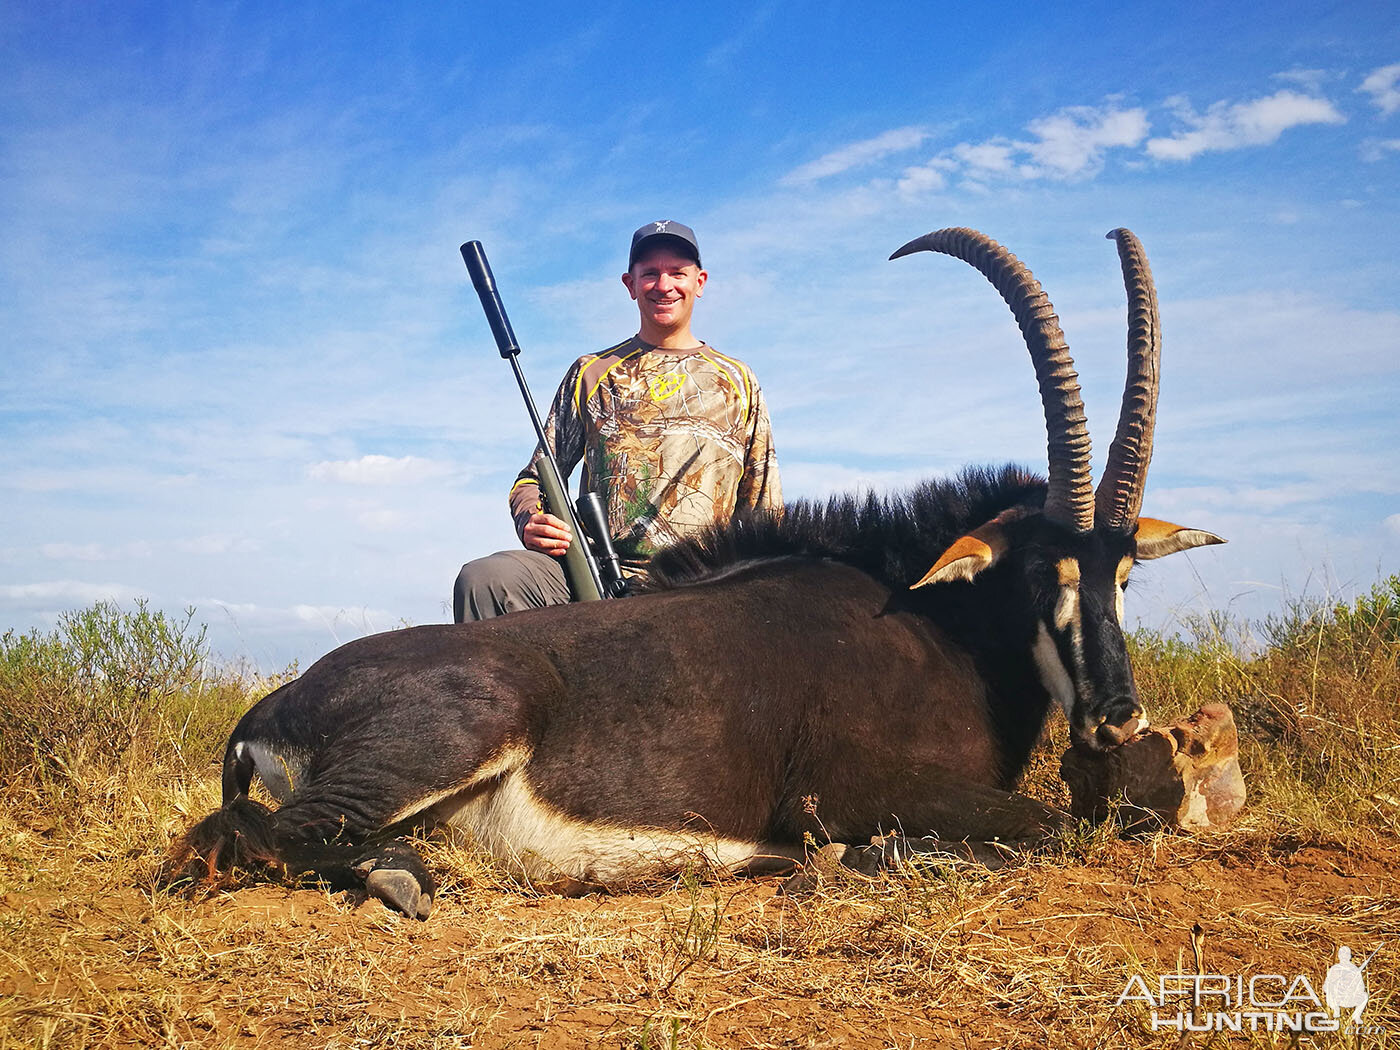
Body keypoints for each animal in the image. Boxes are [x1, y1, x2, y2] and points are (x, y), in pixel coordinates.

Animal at [175, 226, 1226, 918]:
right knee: (232, 837)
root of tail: (270, 704)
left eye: (1124, 576)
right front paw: (852, 860)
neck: (933, 625)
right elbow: (1050, 825)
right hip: (461, 726)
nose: (1118, 717)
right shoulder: (846, 787)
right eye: (1039, 572)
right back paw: (398, 874)